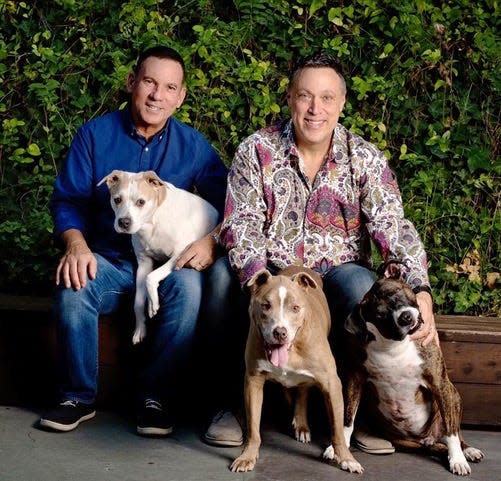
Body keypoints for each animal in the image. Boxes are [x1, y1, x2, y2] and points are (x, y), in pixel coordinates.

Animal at [98, 171, 218, 344]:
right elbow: (138, 302)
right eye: (117, 199)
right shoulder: (144, 263)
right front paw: (140, 328)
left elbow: (151, 277)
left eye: (141, 202)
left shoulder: (181, 253)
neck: (151, 222)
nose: (124, 222)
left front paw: (153, 302)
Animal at [230, 266, 364, 472]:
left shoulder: (332, 384)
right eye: (266, 306)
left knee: (303, 391)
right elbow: (253, 427)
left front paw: (346, 458)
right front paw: (247, 456)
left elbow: (337, 429)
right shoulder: (253, 381)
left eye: (295, 308)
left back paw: (302, 426)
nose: (280, 332)